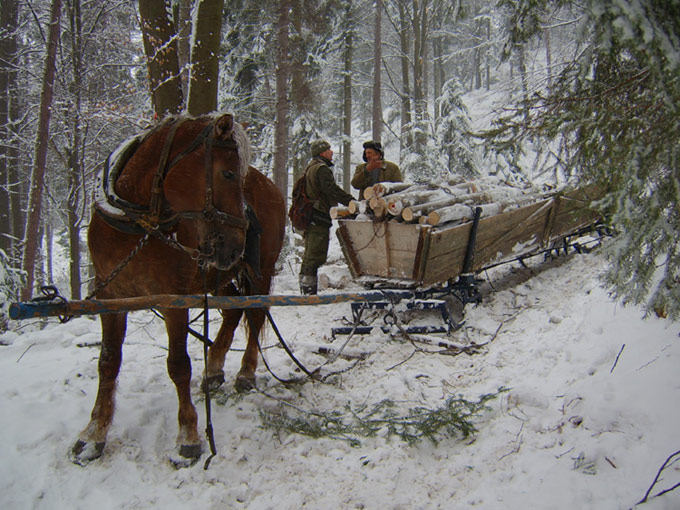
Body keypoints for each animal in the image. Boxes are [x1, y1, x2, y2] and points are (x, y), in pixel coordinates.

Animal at [72, 114, 286, 466]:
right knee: (233, 310)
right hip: (218, 274)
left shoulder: (174, 301)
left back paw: (246, 372)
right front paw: (93, 434)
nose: (236, 246)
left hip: (258, 271)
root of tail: (271, 186)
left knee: (255, 316)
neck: (135, 223)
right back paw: (213, 369)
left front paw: (188, 435)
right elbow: (107, 362)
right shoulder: (110, 298)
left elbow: (178, 365)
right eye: (228, 173)